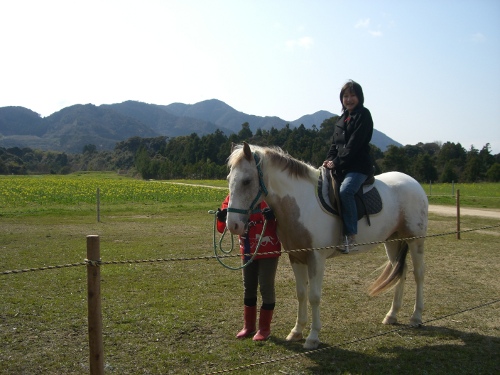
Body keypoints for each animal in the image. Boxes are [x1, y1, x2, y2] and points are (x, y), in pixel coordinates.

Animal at [225, 142, 428, 352]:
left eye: (247, 181)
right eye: (229, 179)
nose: (232, 225)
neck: (302, 202)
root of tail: (413, 182)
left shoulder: (316, 258)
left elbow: (314, 296)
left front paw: (313, 337)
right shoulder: (296, 257)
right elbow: (301, 293)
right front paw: (297, 331)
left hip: (416, 240)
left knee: (418, 274)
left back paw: (416, 317)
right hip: (393, 240)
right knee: (400, 272)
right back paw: (392, 315)